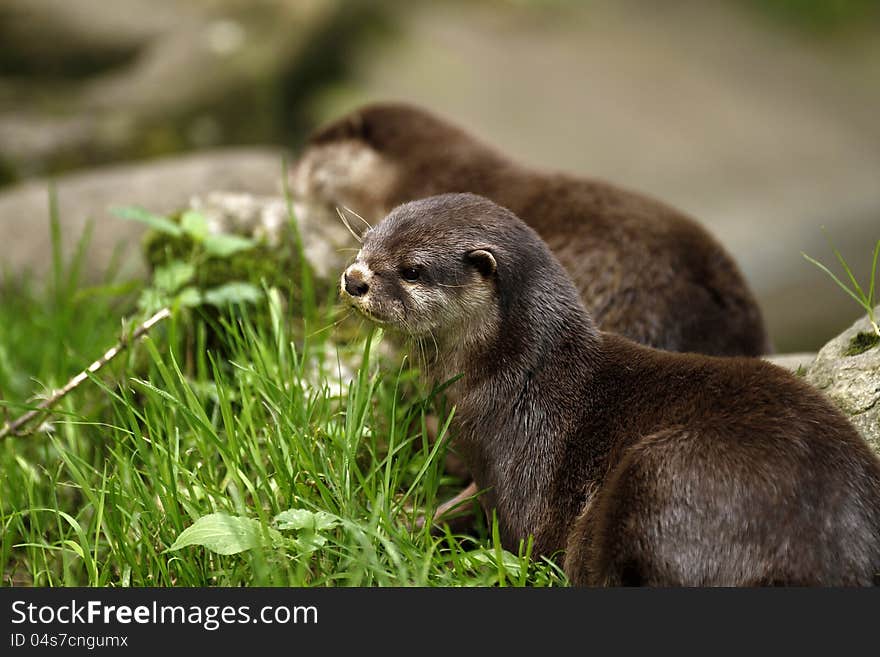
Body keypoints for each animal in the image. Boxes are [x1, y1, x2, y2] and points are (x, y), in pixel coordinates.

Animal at [340, 193, 880, 584]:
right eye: (366, 241)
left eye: (412, 270)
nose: (353, 278)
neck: (521, 380)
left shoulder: (526, 452)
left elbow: (508, 527)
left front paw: (392, 521)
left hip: (661, 470)